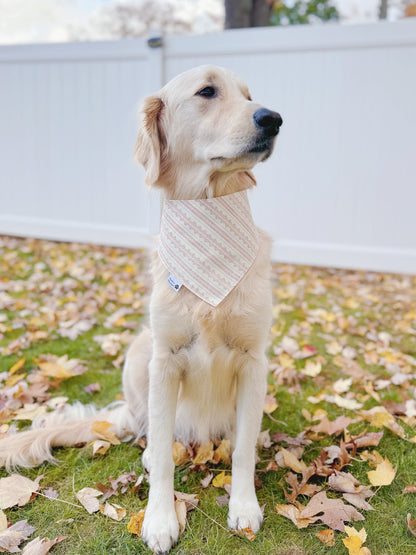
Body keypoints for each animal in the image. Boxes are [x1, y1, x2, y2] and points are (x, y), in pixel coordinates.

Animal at [0, 64, 282, 552]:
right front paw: (160, 519)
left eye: (250, 96)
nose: (274, 118)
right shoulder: (165, 359)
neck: (209, 213)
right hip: (140, 352)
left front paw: (244, 507)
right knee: (146, 427)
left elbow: (244, 450)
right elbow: (166, 456)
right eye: (207, 91)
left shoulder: (253, 360)